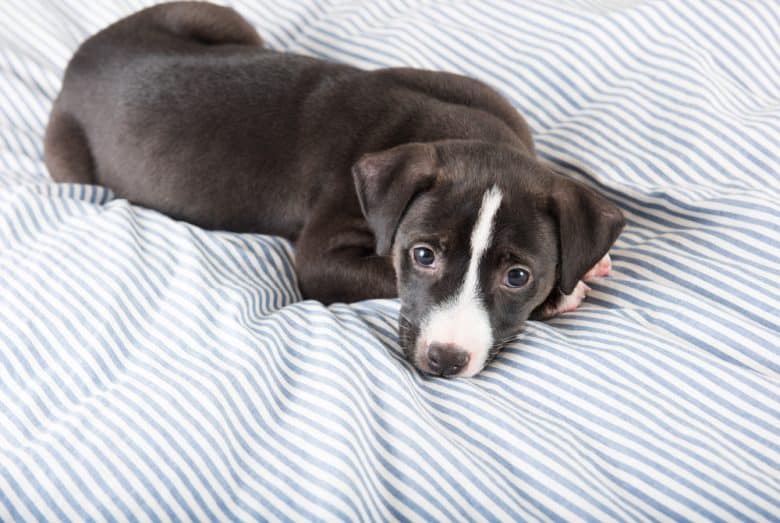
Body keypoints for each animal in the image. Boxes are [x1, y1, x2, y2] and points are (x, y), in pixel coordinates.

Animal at [45, 0, 624, 376]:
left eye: (517, 275)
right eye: (423, 255)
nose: (444, 360)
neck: (461, 130)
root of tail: (81, 59)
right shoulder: (322, 257)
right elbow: (383, 273)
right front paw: (562, 296)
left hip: (214, 17)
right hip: (69, 161)